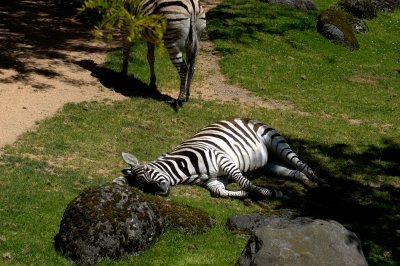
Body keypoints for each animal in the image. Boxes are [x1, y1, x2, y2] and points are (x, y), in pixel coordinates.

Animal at [114, 118, 330, 197]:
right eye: (143, 187)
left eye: (147, 172)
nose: (160, 191)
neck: (187, 170)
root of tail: (243, 117)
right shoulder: (214, 180)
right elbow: (220, 192)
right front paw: (248, 196)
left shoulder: (224, 161)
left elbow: (244, 181)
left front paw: (267, 192)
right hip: (270, 163)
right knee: (295, 172)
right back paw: (310, 184)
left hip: (276, 142)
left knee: (302, 165)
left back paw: (322, 182)